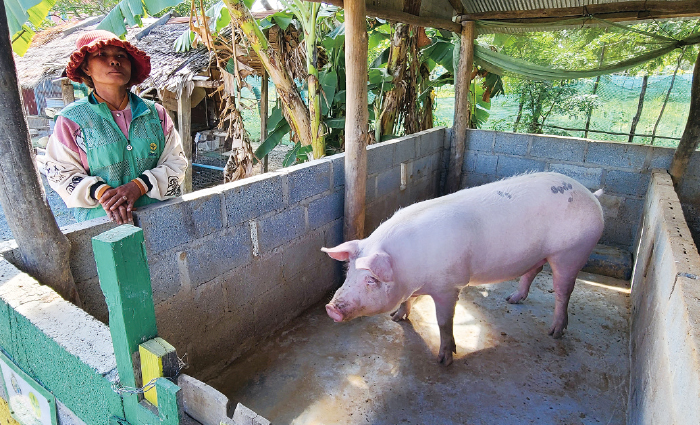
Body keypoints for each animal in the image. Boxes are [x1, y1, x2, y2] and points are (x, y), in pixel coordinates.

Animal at [322, 171, 600, 366]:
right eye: (349, 273)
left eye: (371, 280)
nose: (331, 308)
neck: (408, 268)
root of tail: (592, 196)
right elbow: (407, 302)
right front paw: (396, 317)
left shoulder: (449, 286)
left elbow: (444, 322)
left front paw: (444, 360)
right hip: (539, 255)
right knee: (532, 272)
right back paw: (513, 300)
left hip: (571, 253)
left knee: (563, 291)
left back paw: (555, 333)